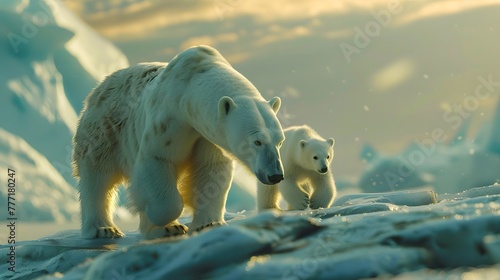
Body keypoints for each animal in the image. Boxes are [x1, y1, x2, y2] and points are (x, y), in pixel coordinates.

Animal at [73, 45, 286, 238]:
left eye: (280, 141)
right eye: (257, 142)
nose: (275, 175)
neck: (190, 89)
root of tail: (97, 89)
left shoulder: (206, 134)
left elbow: (211, 169)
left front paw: (208, 223)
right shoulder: (169, 121)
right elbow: (158, 159)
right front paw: (157, 215)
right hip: (104, 132)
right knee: (98, 179)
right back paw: (104, 229)